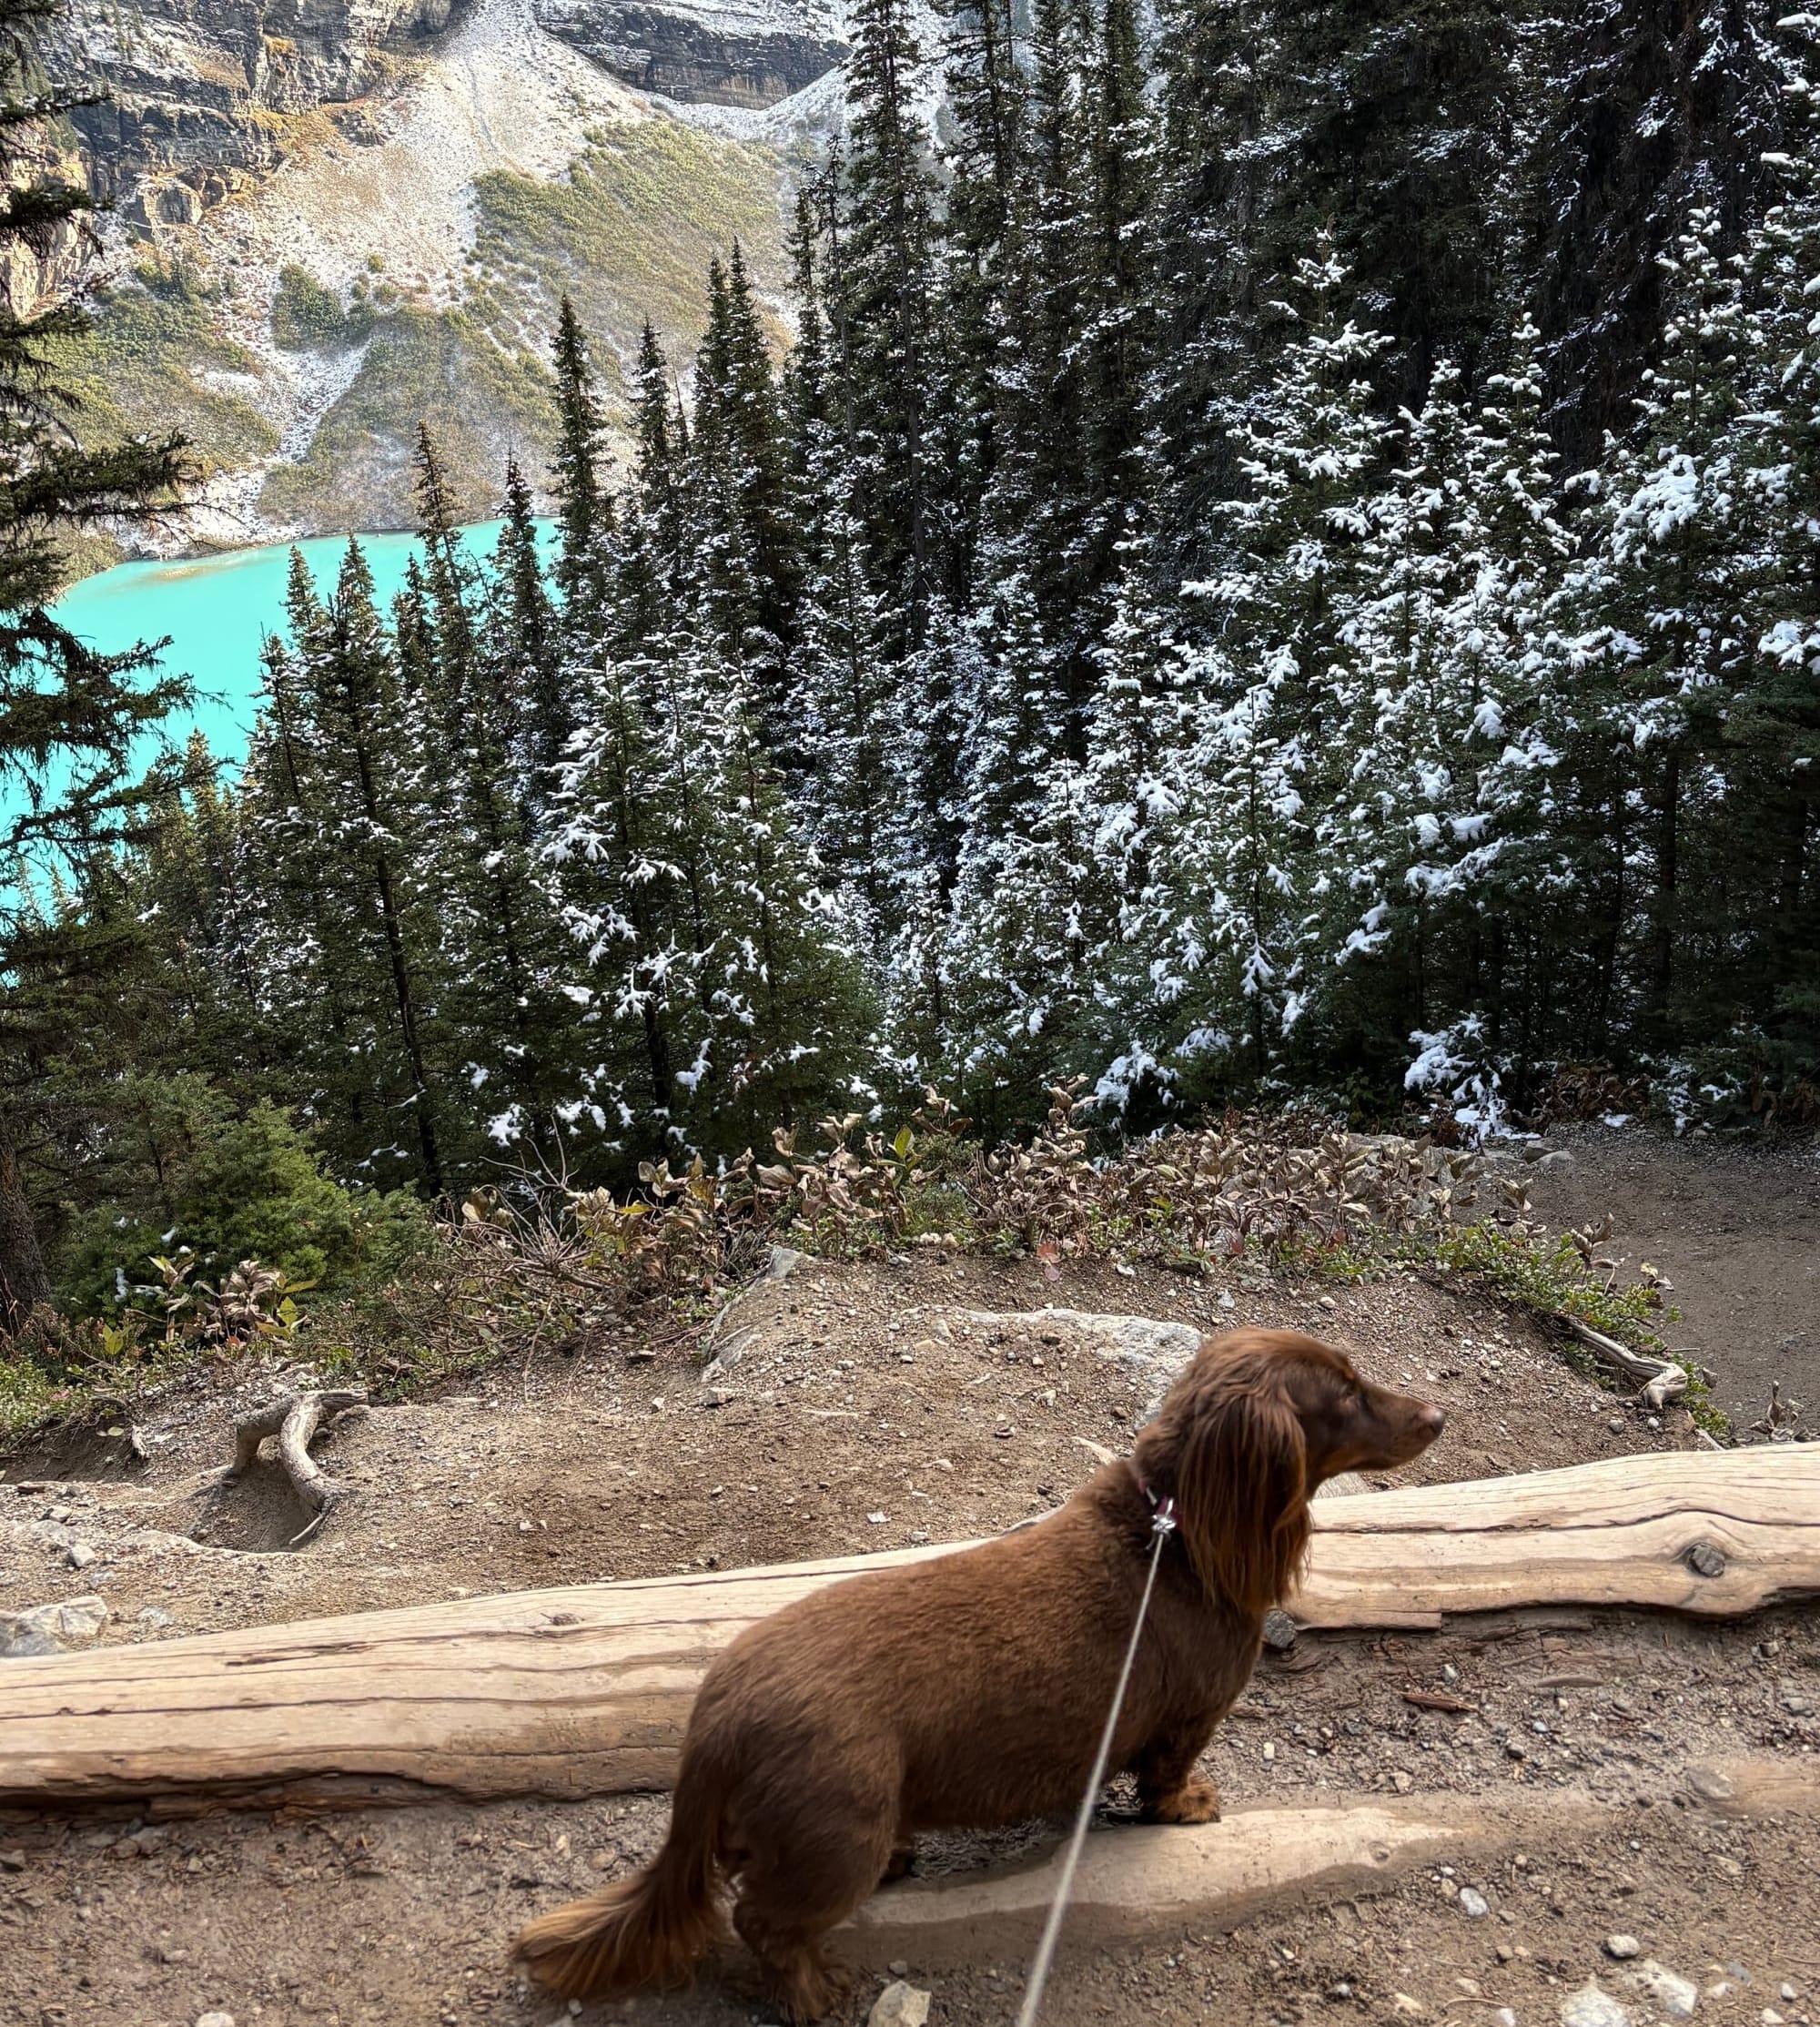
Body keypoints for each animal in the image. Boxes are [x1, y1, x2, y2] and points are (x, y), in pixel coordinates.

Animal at [512, 1328, 1443, 2018]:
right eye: (1345, 1395)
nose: (1437, 1414)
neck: (1173, 1535)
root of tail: (711, 1730)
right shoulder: (1191, 1717)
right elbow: (1168, 1776)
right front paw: (1188, 1806)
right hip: (838, 1833)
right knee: (762, 1921)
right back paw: (813, 1994)